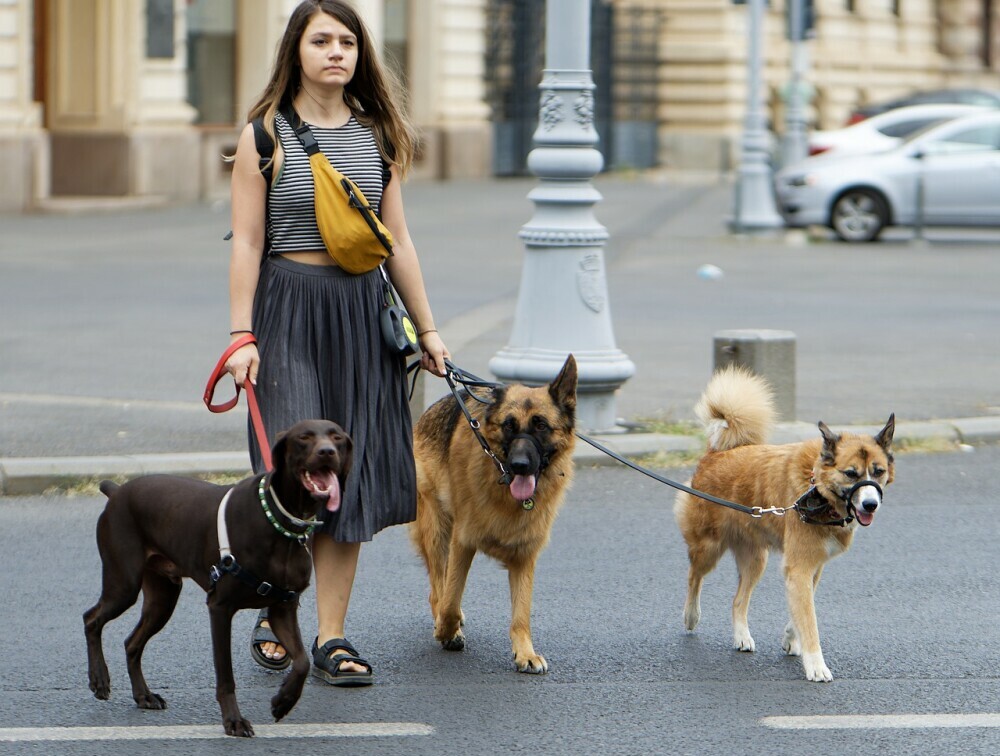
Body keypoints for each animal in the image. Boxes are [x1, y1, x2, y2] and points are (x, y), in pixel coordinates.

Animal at [408, 354, 580, 672]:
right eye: (509, 426)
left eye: (541, 426)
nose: (519, 465)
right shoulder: (462, 543)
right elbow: (450, 601)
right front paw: (446, 631)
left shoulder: (525, 556)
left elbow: (521, 614)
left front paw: (525, 652)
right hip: (437, 531)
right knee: (438, 587)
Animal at [676, 368, 896, 684]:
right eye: (850, 474)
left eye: (878, 472)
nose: (870, 504)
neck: (815, 487)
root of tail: (716, 453)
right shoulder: (800, 567)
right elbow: (810, 620)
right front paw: (816, 664)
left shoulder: (811, 568)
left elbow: (801, 611)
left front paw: (792, 639)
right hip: (709, 547)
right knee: (694, 576)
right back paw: (691, 615)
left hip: (756, 560)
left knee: (737, 601)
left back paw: (741, 636)